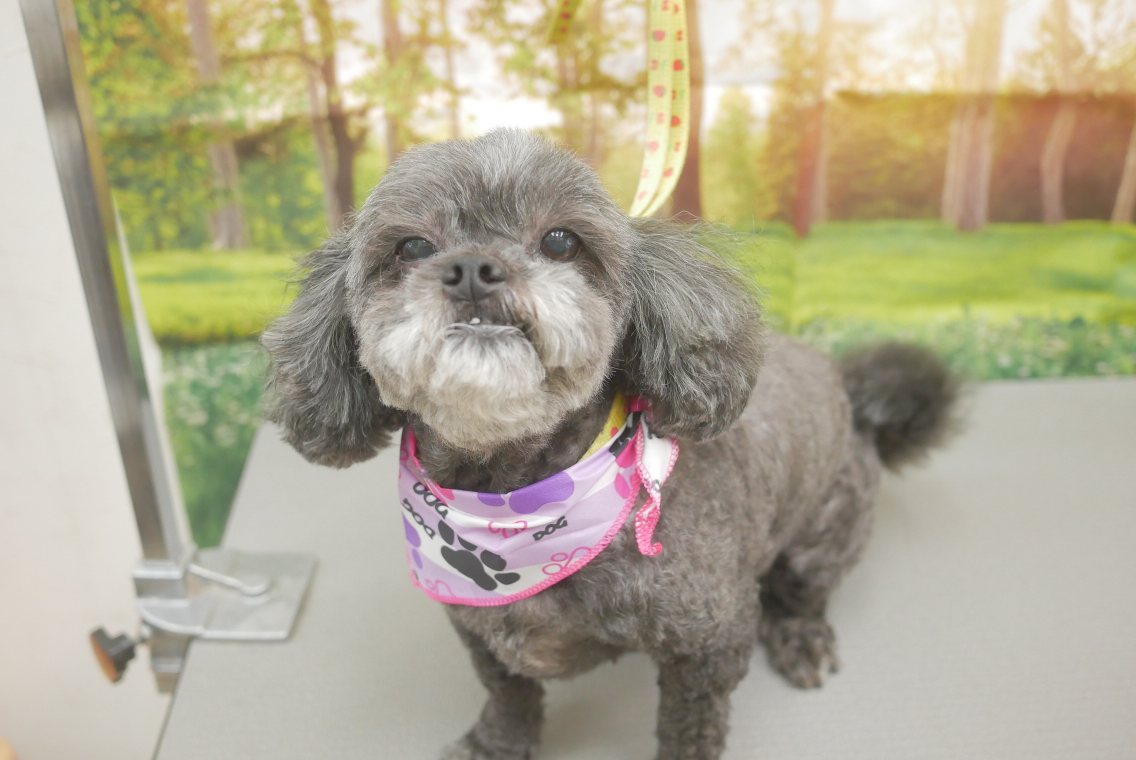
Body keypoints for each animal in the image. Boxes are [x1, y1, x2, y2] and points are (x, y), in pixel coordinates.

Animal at [262, 129, 958, 759]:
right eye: (412, 245)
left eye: (561, 240)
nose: (472, 271)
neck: (515, 500)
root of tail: (855, 399)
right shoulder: (479, 631)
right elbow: (508, 696)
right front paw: (495, 745)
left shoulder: (708, 644)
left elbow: (690, 734)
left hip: (825, 532)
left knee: (804, 590)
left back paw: (801, 635)